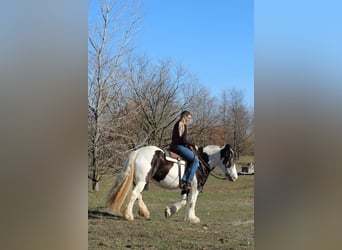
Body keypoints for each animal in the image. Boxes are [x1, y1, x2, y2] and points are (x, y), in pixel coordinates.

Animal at [106, 144, 238, 224]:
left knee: (138, 195)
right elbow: (192, 202)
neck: (201, 163)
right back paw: (129, 216)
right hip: (142, 181)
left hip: (139, 181)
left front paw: (169, 211)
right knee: (134, 194)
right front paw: (193, 218)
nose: (235, 177)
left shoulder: (186, 187)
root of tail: (138, 152)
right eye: (229, 158)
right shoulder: (195, 188)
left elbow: (184, 201)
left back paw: (144, 212)